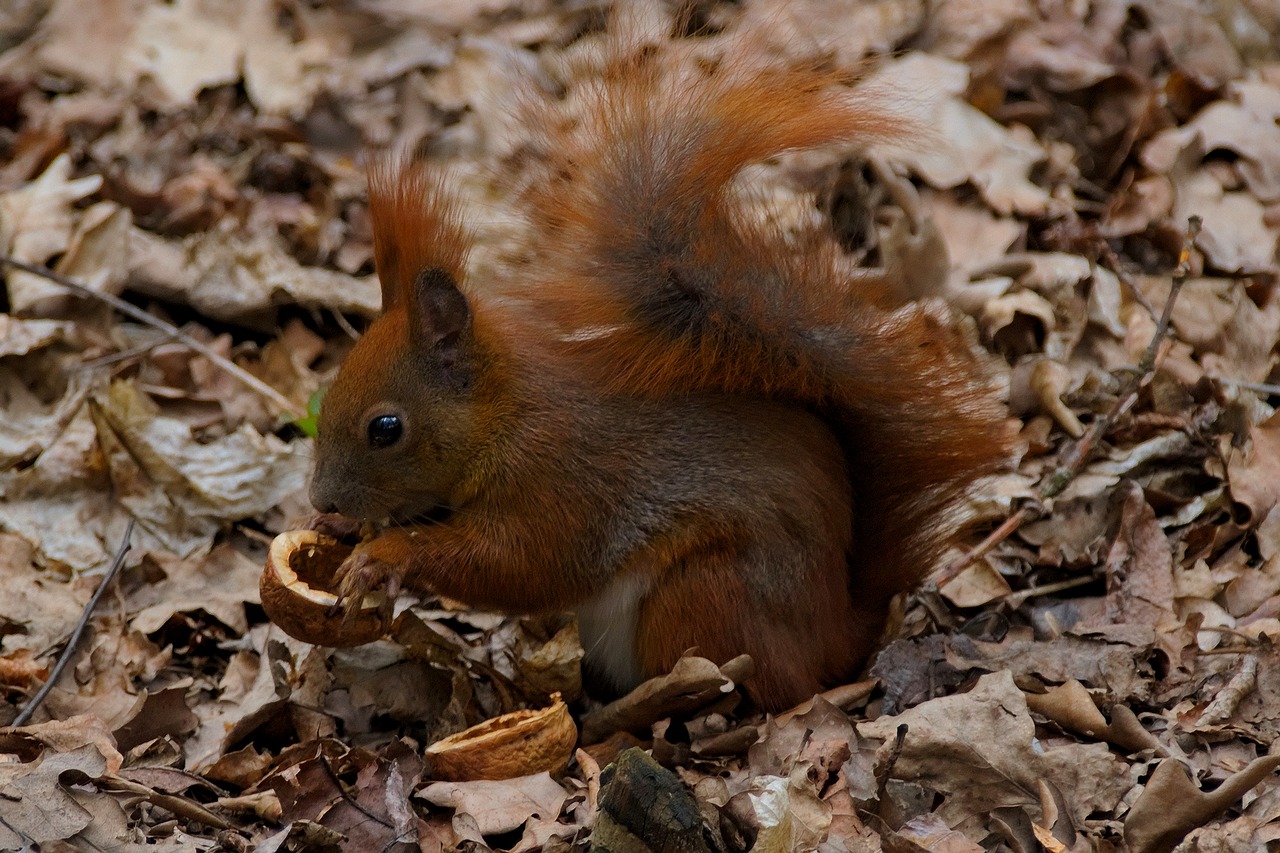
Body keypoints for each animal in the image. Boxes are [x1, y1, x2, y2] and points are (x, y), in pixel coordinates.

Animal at [307, 41, 1008, 701]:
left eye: (386, 429)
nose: (320, 498)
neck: (504, 417)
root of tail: (838, 634)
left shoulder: (562, 480)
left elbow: (521, 564)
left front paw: (385, 555)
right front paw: (338, 530)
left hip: (704, 590)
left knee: (752, 684)